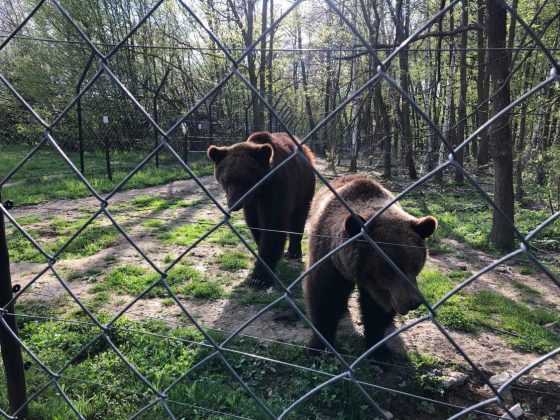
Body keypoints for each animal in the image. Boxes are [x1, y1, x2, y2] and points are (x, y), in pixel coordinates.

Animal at [209, 133, 316, 288]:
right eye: (225, 180)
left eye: (245, 180)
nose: (234, 204)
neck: (260, 190)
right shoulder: (251, 203)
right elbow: (255, 224)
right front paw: (259, 259)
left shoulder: (277, 188)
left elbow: (273, 225)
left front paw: (260, 276)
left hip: (303, 186)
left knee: (298, 217)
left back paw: (293, 251)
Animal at [304, 176, 436, 360]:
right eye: (390, 266)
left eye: (416, 265)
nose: (414, 302)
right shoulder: (328, 259)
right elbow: (325, 297)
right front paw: (318, 348)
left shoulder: (383, 290)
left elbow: (376, 312)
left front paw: (380, 350)